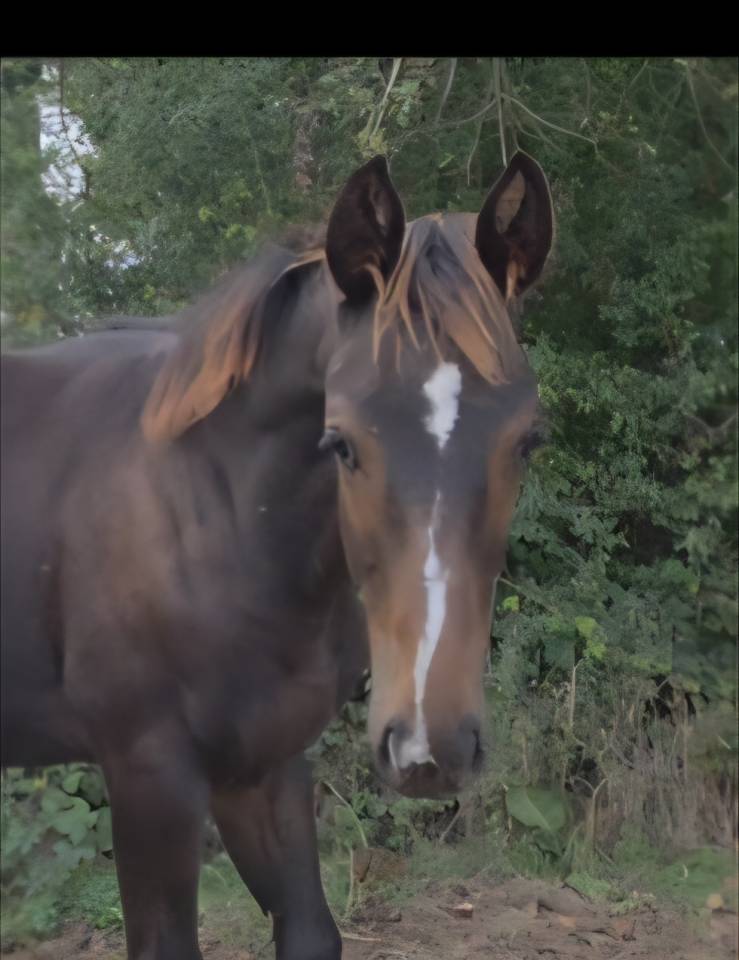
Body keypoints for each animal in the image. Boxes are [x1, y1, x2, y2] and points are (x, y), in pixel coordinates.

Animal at [0, 151, 553, 959]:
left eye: (525, 441)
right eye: (341, 442)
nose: (430, 747)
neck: (215, 519)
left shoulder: (264, 768)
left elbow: (311, 931)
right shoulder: (149, 776)